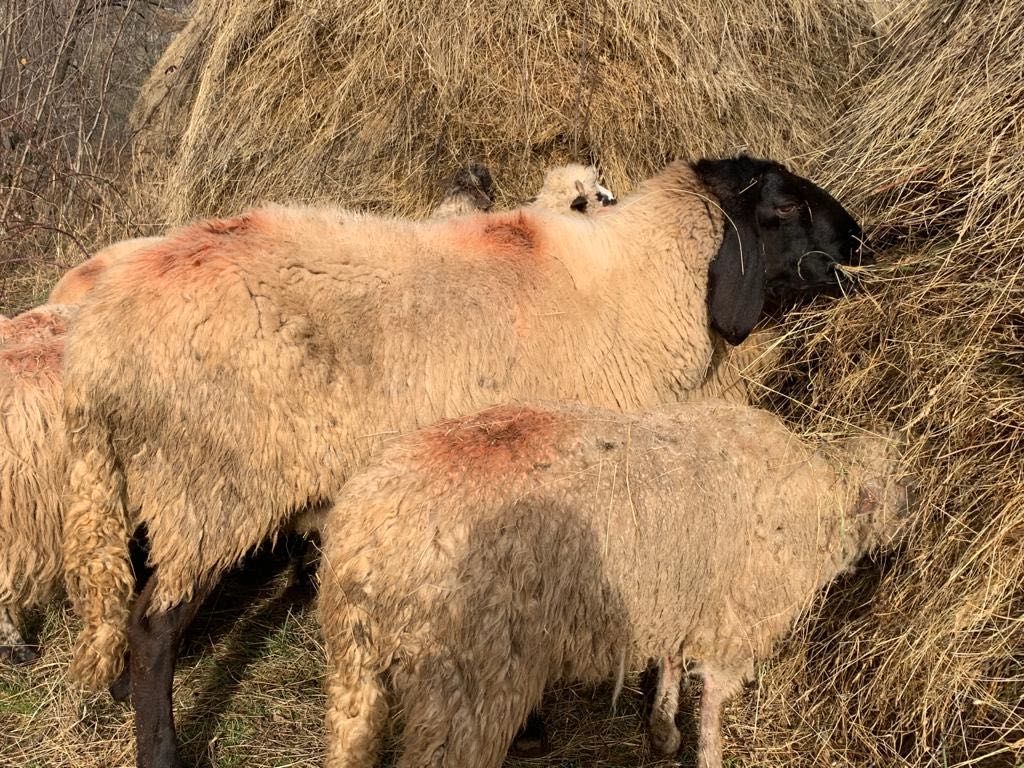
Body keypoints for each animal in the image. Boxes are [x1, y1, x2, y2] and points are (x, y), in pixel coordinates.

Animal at [321, 399, 913, 768]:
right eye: (898, 492)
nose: (905, 541)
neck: (819, 504)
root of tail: (369, 534)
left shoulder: (678, 597)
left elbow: (670, 666)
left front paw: (663, 730)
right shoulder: (735, 621)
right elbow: (713, 705)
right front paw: (706, 752)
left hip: (354, 665)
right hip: (465, 683)